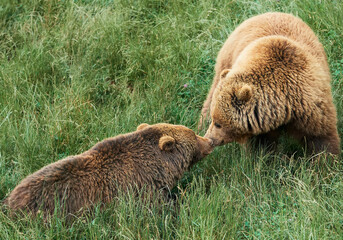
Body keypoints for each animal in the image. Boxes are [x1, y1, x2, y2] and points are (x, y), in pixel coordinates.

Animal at [202, 12, 342, 156]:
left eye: (218, 123)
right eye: (215, 120)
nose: (210, 138)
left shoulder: (308, 104)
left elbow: (320, 136)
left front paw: (325, 157)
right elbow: (261, 145)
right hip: (227, 59)